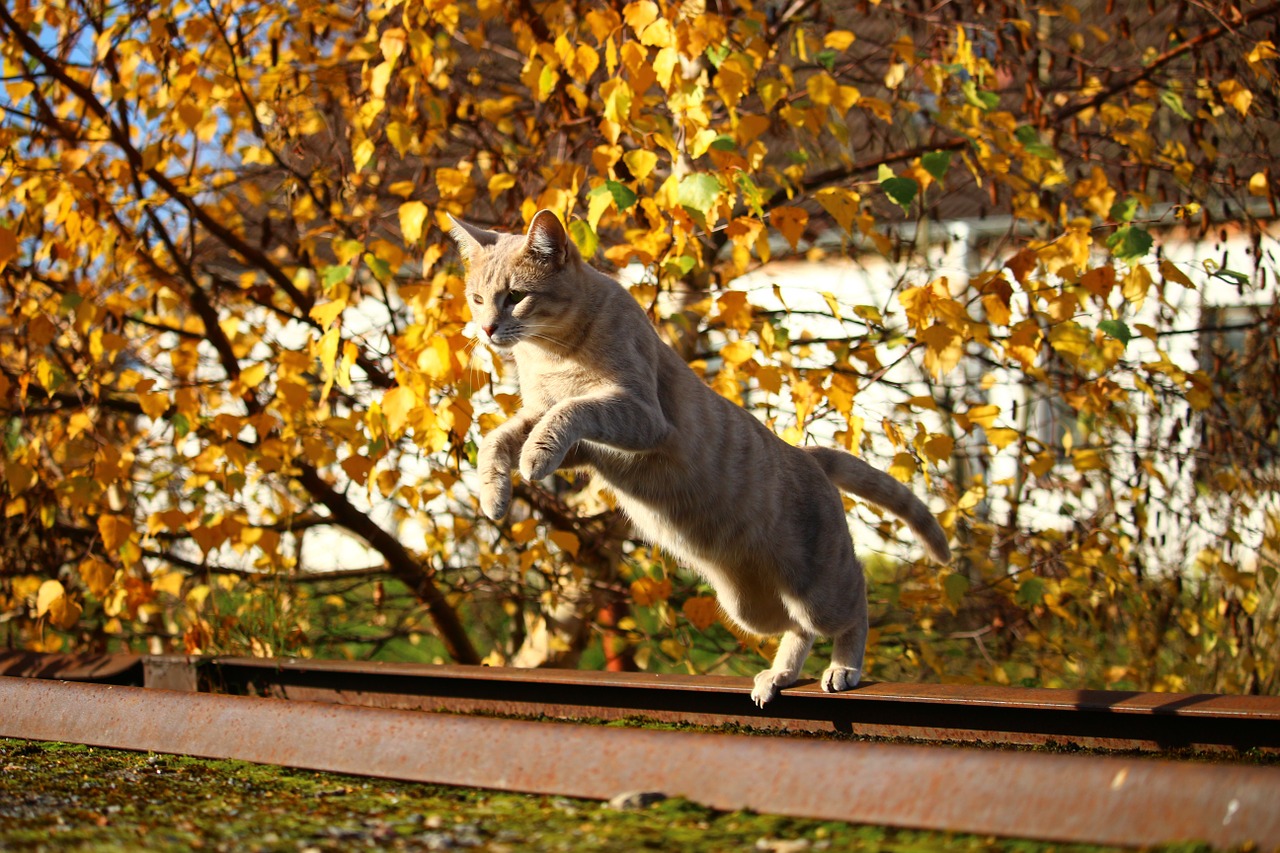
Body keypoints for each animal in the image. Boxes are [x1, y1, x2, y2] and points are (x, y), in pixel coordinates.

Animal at [450, 207, 952, 701]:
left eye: (515, 296)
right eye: (476, 299)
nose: (486, 329)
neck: (549, 356)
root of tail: (807, 454)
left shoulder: (638, 416)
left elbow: (570, 411)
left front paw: (534, 459)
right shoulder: (556, 429)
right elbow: (498, 439)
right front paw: (494, 495)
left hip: (819, 589)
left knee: (855, 604)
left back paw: (843, 669)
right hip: (750, 606)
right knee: (797, 629)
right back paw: (777, 677)